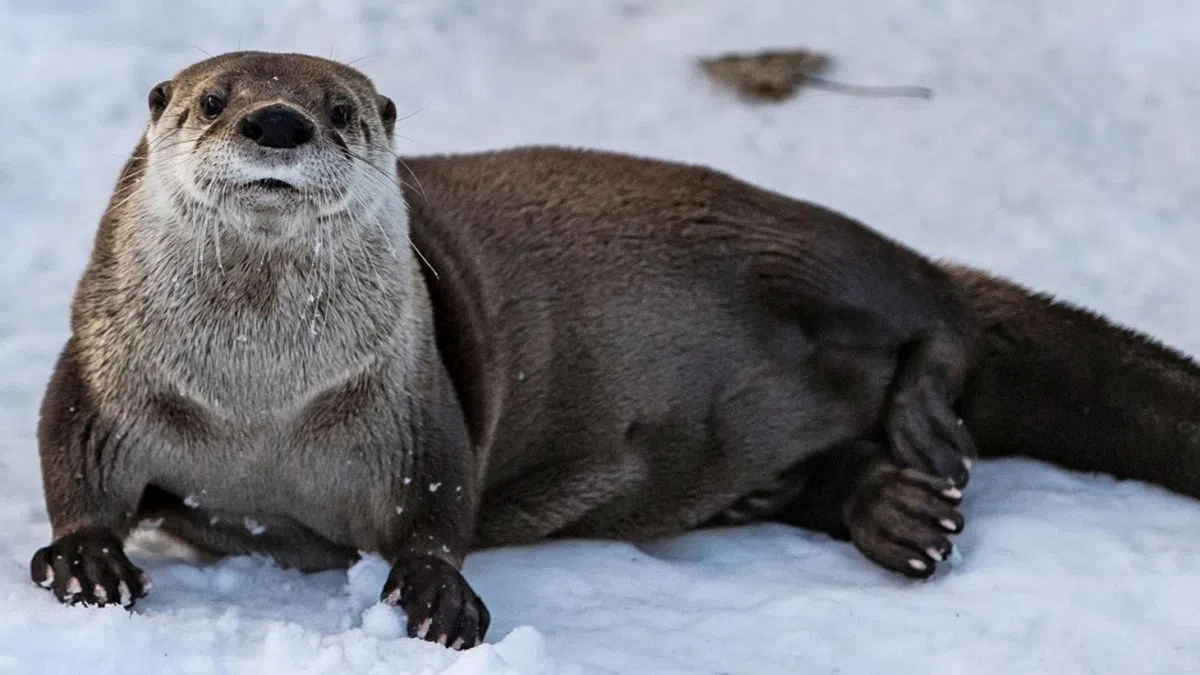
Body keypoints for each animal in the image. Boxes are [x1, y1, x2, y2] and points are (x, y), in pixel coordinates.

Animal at [28, 52, 1200, 651]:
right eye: (211, 100)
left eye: (342, 110)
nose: (277, 123)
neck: (258, 402)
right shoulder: (101, 371)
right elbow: (69, 456)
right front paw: (86, 558)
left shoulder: (414, 399)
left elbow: (439, 495)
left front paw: (436, 595)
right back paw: (900, 515)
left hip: (804, 251)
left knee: (938, 309)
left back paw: (926, 425)